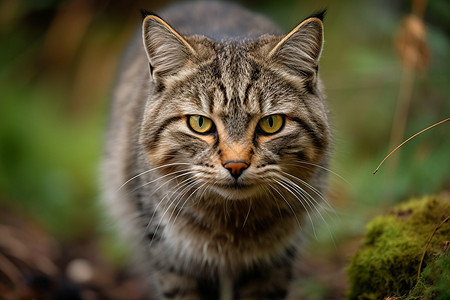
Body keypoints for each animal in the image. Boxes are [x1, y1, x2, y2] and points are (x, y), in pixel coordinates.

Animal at [103, 1, 332, 298]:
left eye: (271, 123)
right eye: (200, 123)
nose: (235, 165)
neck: (232, 222)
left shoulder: (274, 263)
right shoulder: (171, 256)